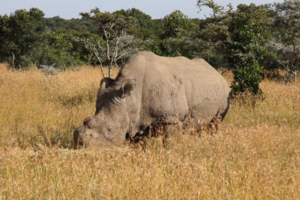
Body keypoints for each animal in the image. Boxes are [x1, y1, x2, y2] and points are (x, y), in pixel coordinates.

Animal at [73, 50, 230, 148]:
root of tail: (217, 73)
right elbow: (140, 145)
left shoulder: (172, 119)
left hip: (224, 92)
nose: (81, 145)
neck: (131, 97)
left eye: (110, 129)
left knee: (215, 122)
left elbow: (170, 142)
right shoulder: (136, 119)